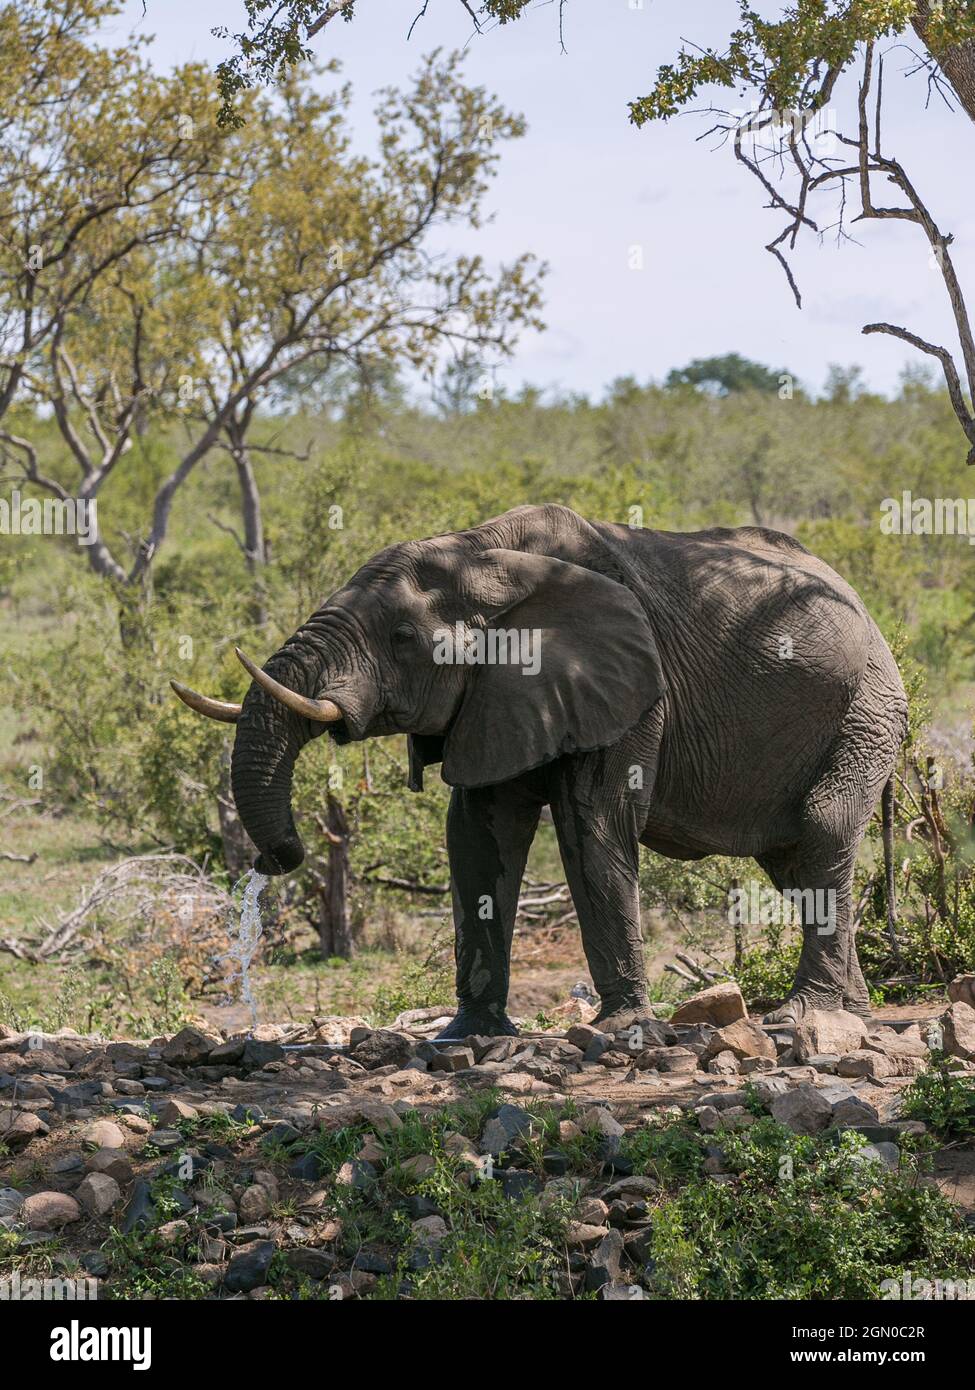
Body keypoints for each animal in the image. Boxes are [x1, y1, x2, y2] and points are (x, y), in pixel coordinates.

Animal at [172, 503, 907, 1038]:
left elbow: (593, 824)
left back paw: (807, 1016)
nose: (278, 857)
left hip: (866, 711)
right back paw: (851, 1012)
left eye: (401, 640)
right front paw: (468, 1033)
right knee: (792, 864)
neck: (486, 553)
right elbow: (477, 834)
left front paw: (619, 1028)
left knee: (821, 829)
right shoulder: (496, 696)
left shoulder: (630, 688)